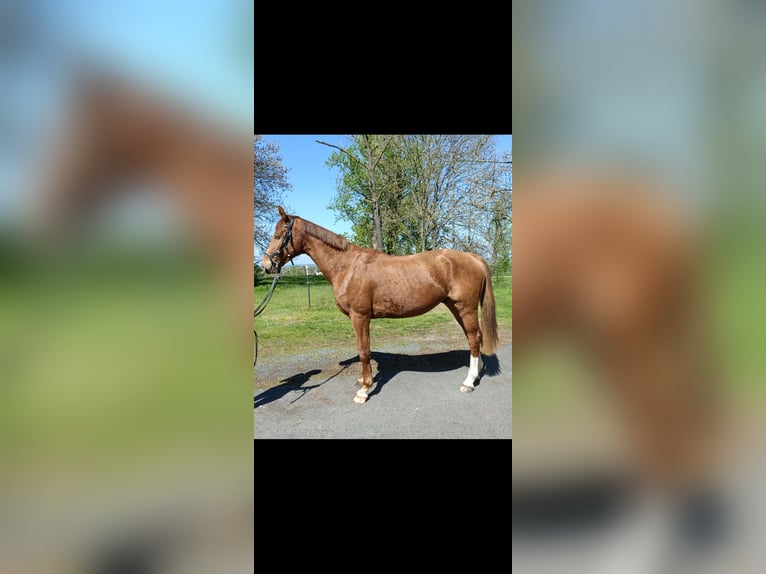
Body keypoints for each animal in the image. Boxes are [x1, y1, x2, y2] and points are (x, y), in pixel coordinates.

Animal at [261, 206, 500, 404]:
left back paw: (468, 382)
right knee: (475, 337)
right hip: (455, 307)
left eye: (279, 235)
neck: (347, 266)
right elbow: (362, 349)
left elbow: (364, 350)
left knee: (473, 339)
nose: (265, 265)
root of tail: (474, 257)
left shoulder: (360, 316)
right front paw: (362, 380)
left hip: (465, 308)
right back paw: (476, 373)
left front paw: (364, 390)